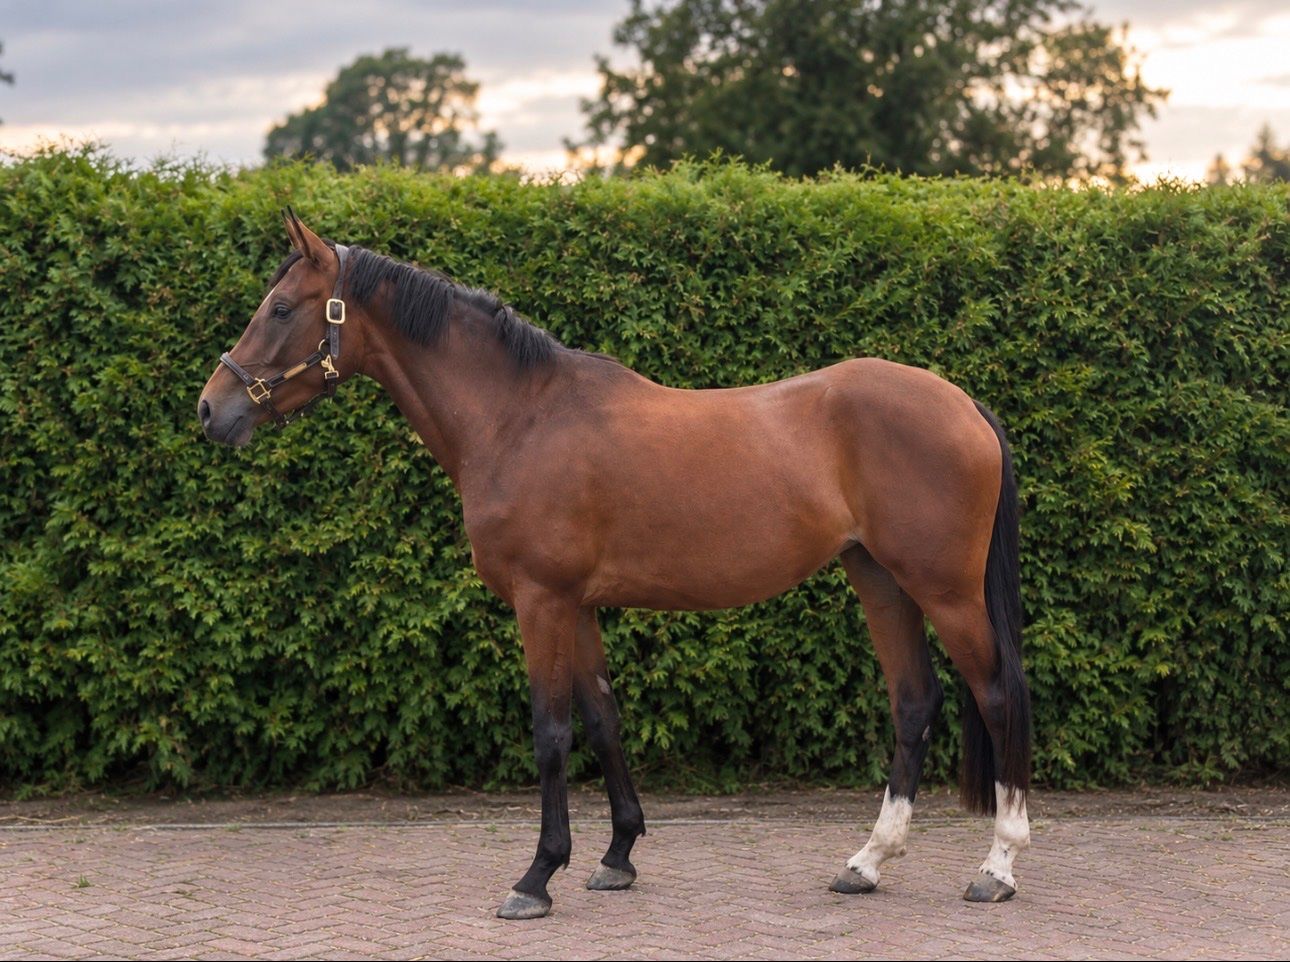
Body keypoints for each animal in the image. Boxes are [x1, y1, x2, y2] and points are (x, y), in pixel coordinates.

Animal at [199, 211, 1032, 920]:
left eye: (281, 309)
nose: (212, 410)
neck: (519, 416)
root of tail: (964, 404)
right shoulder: (577, 605)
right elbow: (602, 718)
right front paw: (618, 855)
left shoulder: (540, 600)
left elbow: (551, 729)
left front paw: (537, 876)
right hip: (879, 578)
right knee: (914, 702)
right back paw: (866, 863)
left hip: (945, 590)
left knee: (997, 694)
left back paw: (998, 867)